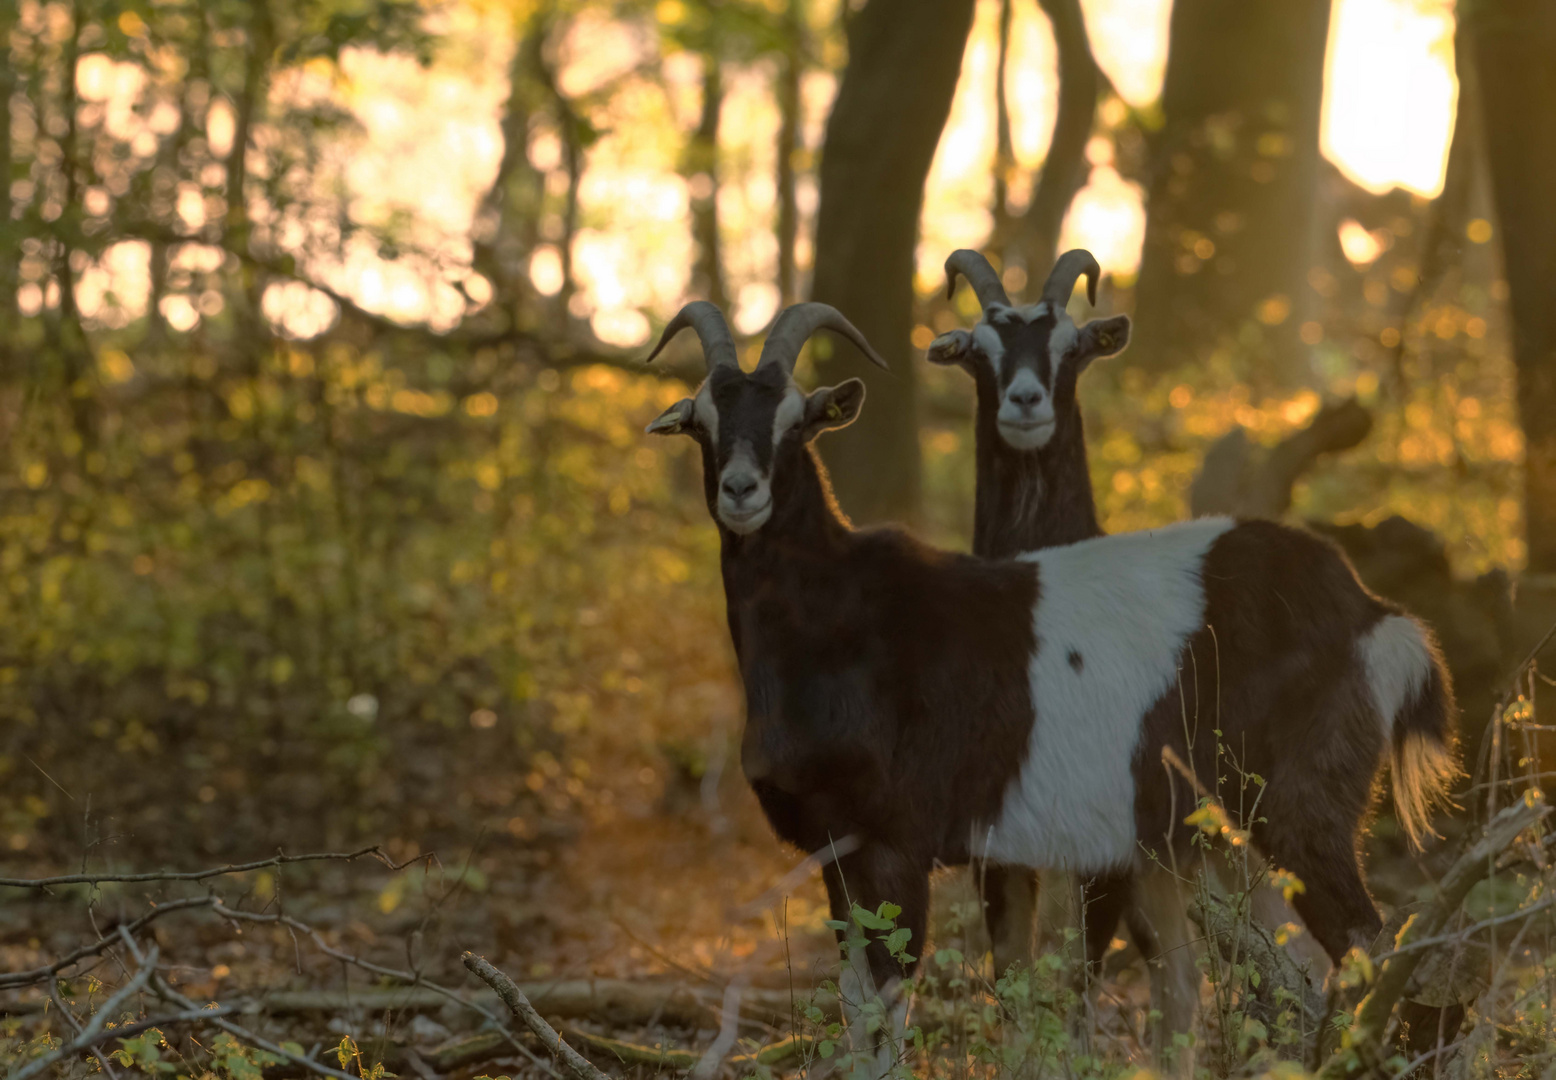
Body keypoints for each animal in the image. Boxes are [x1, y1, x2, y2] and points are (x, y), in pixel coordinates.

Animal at [644, 300, 1456, 1076]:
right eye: (702, 422)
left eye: (795, 421)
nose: (741, 490)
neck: (835, 618)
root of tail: (1370, 613)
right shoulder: (834, 854)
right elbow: (856, 1002)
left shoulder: (897, 844)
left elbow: (889, 1007)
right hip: (1193, 838)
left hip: (1298, 807)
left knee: (1365, 940)